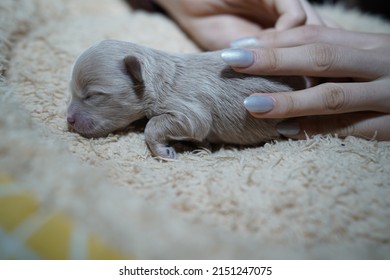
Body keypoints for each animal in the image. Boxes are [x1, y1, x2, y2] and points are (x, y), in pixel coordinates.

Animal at [66, 39, 304, 159]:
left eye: (92, 95)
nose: (69, 120)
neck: (160, 79)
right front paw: (201, 146)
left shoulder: (188, 110)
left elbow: (155, 124)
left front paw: (163, 151)